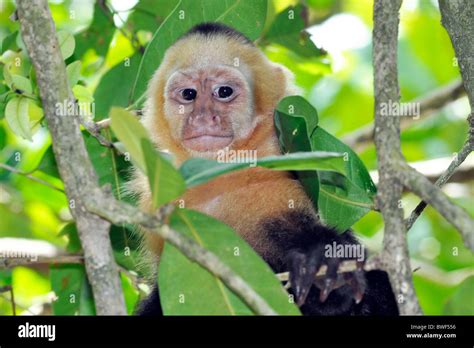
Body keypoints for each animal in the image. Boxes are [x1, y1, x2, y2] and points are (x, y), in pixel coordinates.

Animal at [131, 21, 398, 316]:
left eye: (224, 92)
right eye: (188, 94)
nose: (203, 117)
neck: (219, 174)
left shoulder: (277, 184)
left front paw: (328, 266)